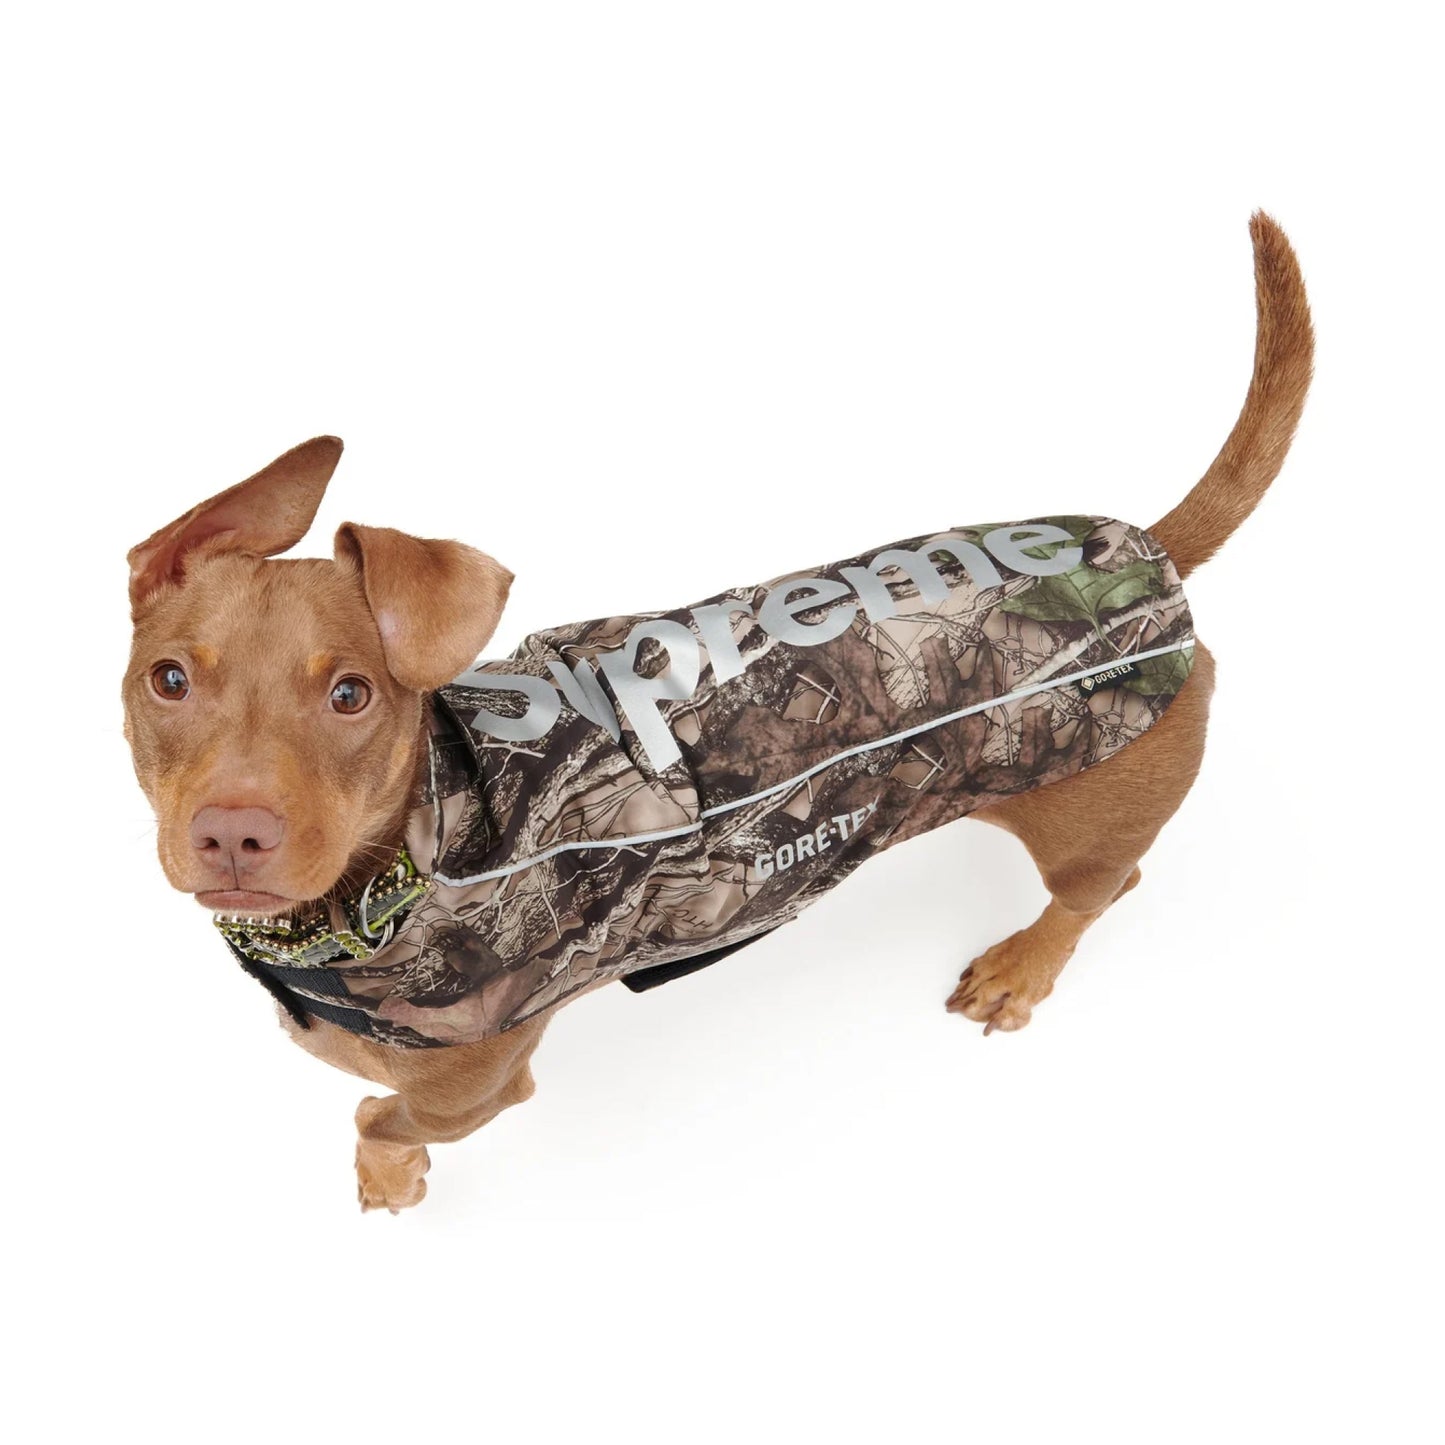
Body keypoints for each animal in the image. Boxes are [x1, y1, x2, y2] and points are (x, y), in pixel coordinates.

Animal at [123, 213, 1313, 1211]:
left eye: (351, 693)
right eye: (168, 679)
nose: (232, 833)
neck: (408, 859)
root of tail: (1151, 553)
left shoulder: (480, 1086)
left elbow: (383, 1114)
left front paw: (387, 1168)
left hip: (1090, 816)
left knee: (1098, 889)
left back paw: (1021, 965)